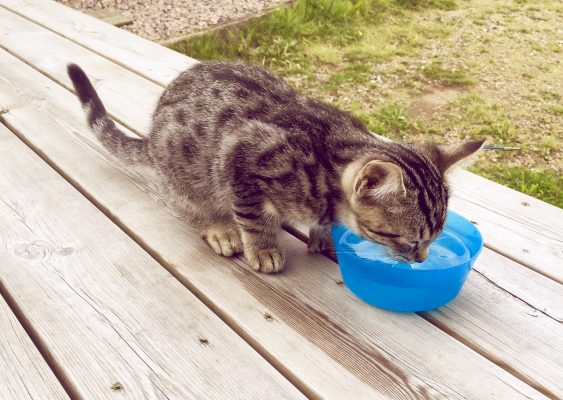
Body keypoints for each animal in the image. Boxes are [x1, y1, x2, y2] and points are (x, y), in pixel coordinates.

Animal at [67, 61, 484, 274]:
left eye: (433, 239)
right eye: (411, 240)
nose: (422, 260)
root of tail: (152, 134)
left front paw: (323, 235)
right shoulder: (240, 157)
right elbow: (252, 217)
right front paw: (263, 248)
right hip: (186, 170)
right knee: (190, 204)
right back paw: (220, 227)